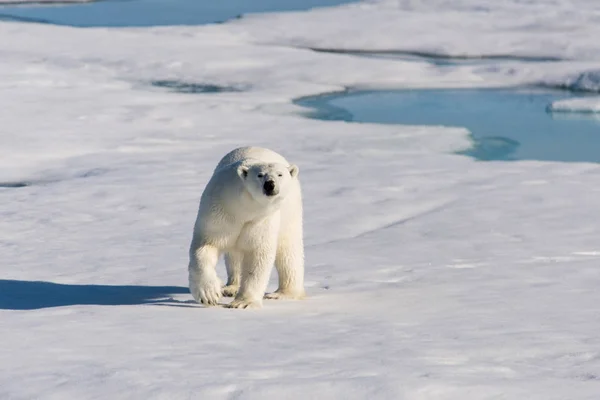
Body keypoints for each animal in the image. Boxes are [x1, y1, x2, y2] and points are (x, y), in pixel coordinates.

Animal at [189, 147, 304, 310]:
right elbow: (206, 246)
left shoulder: (261, 220)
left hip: (290, 212)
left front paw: (243, 303)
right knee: (234, 256)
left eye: (280, 174)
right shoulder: (219, 211)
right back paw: (230, 287)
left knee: (288, 250)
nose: (270, 184)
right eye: (260, 174)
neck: (245, 209)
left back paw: (282, 293)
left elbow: (257, 255)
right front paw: (209, 294)